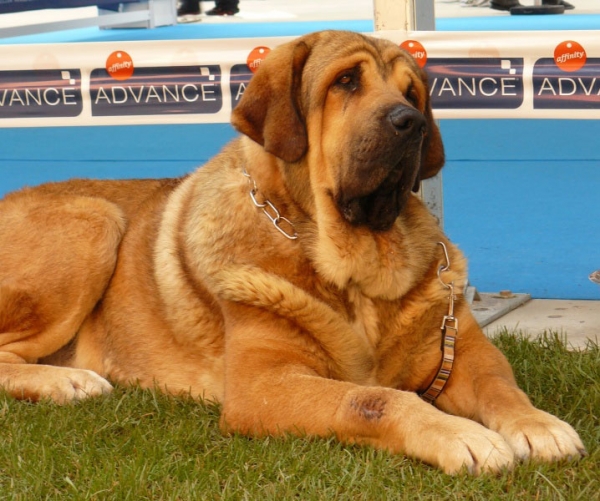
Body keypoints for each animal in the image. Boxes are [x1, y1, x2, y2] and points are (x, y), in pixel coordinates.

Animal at [0, 31, 584, 472]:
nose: (411, 122)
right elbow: (372, 398)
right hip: (95, 221)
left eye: (413, 93)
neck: (355, 269)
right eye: (346, 82)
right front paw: (461, 435)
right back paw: (68, 380)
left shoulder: (460, 349)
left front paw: (539, 426)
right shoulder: (264, 386)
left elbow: (500, 387)